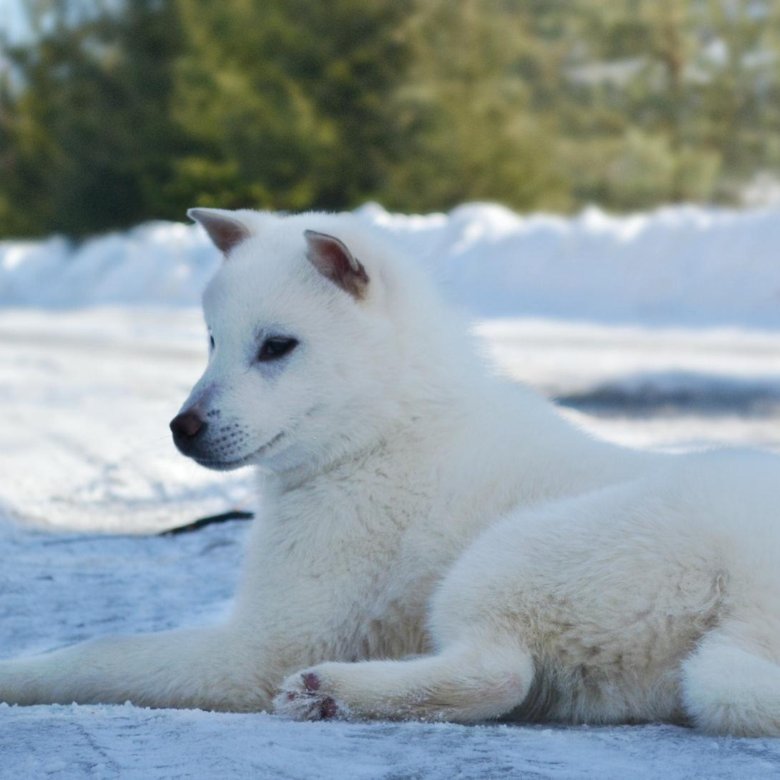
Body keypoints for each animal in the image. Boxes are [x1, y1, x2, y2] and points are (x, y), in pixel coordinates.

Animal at [1, 209, 780, 736]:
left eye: (277, 346)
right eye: (213, 342)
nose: (180, 428)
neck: (384, 427)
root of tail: (751, 602)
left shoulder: (261, 646)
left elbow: (99, 654)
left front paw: (16, 675)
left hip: (511, 553)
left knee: (498, 672)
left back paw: (332, 692)